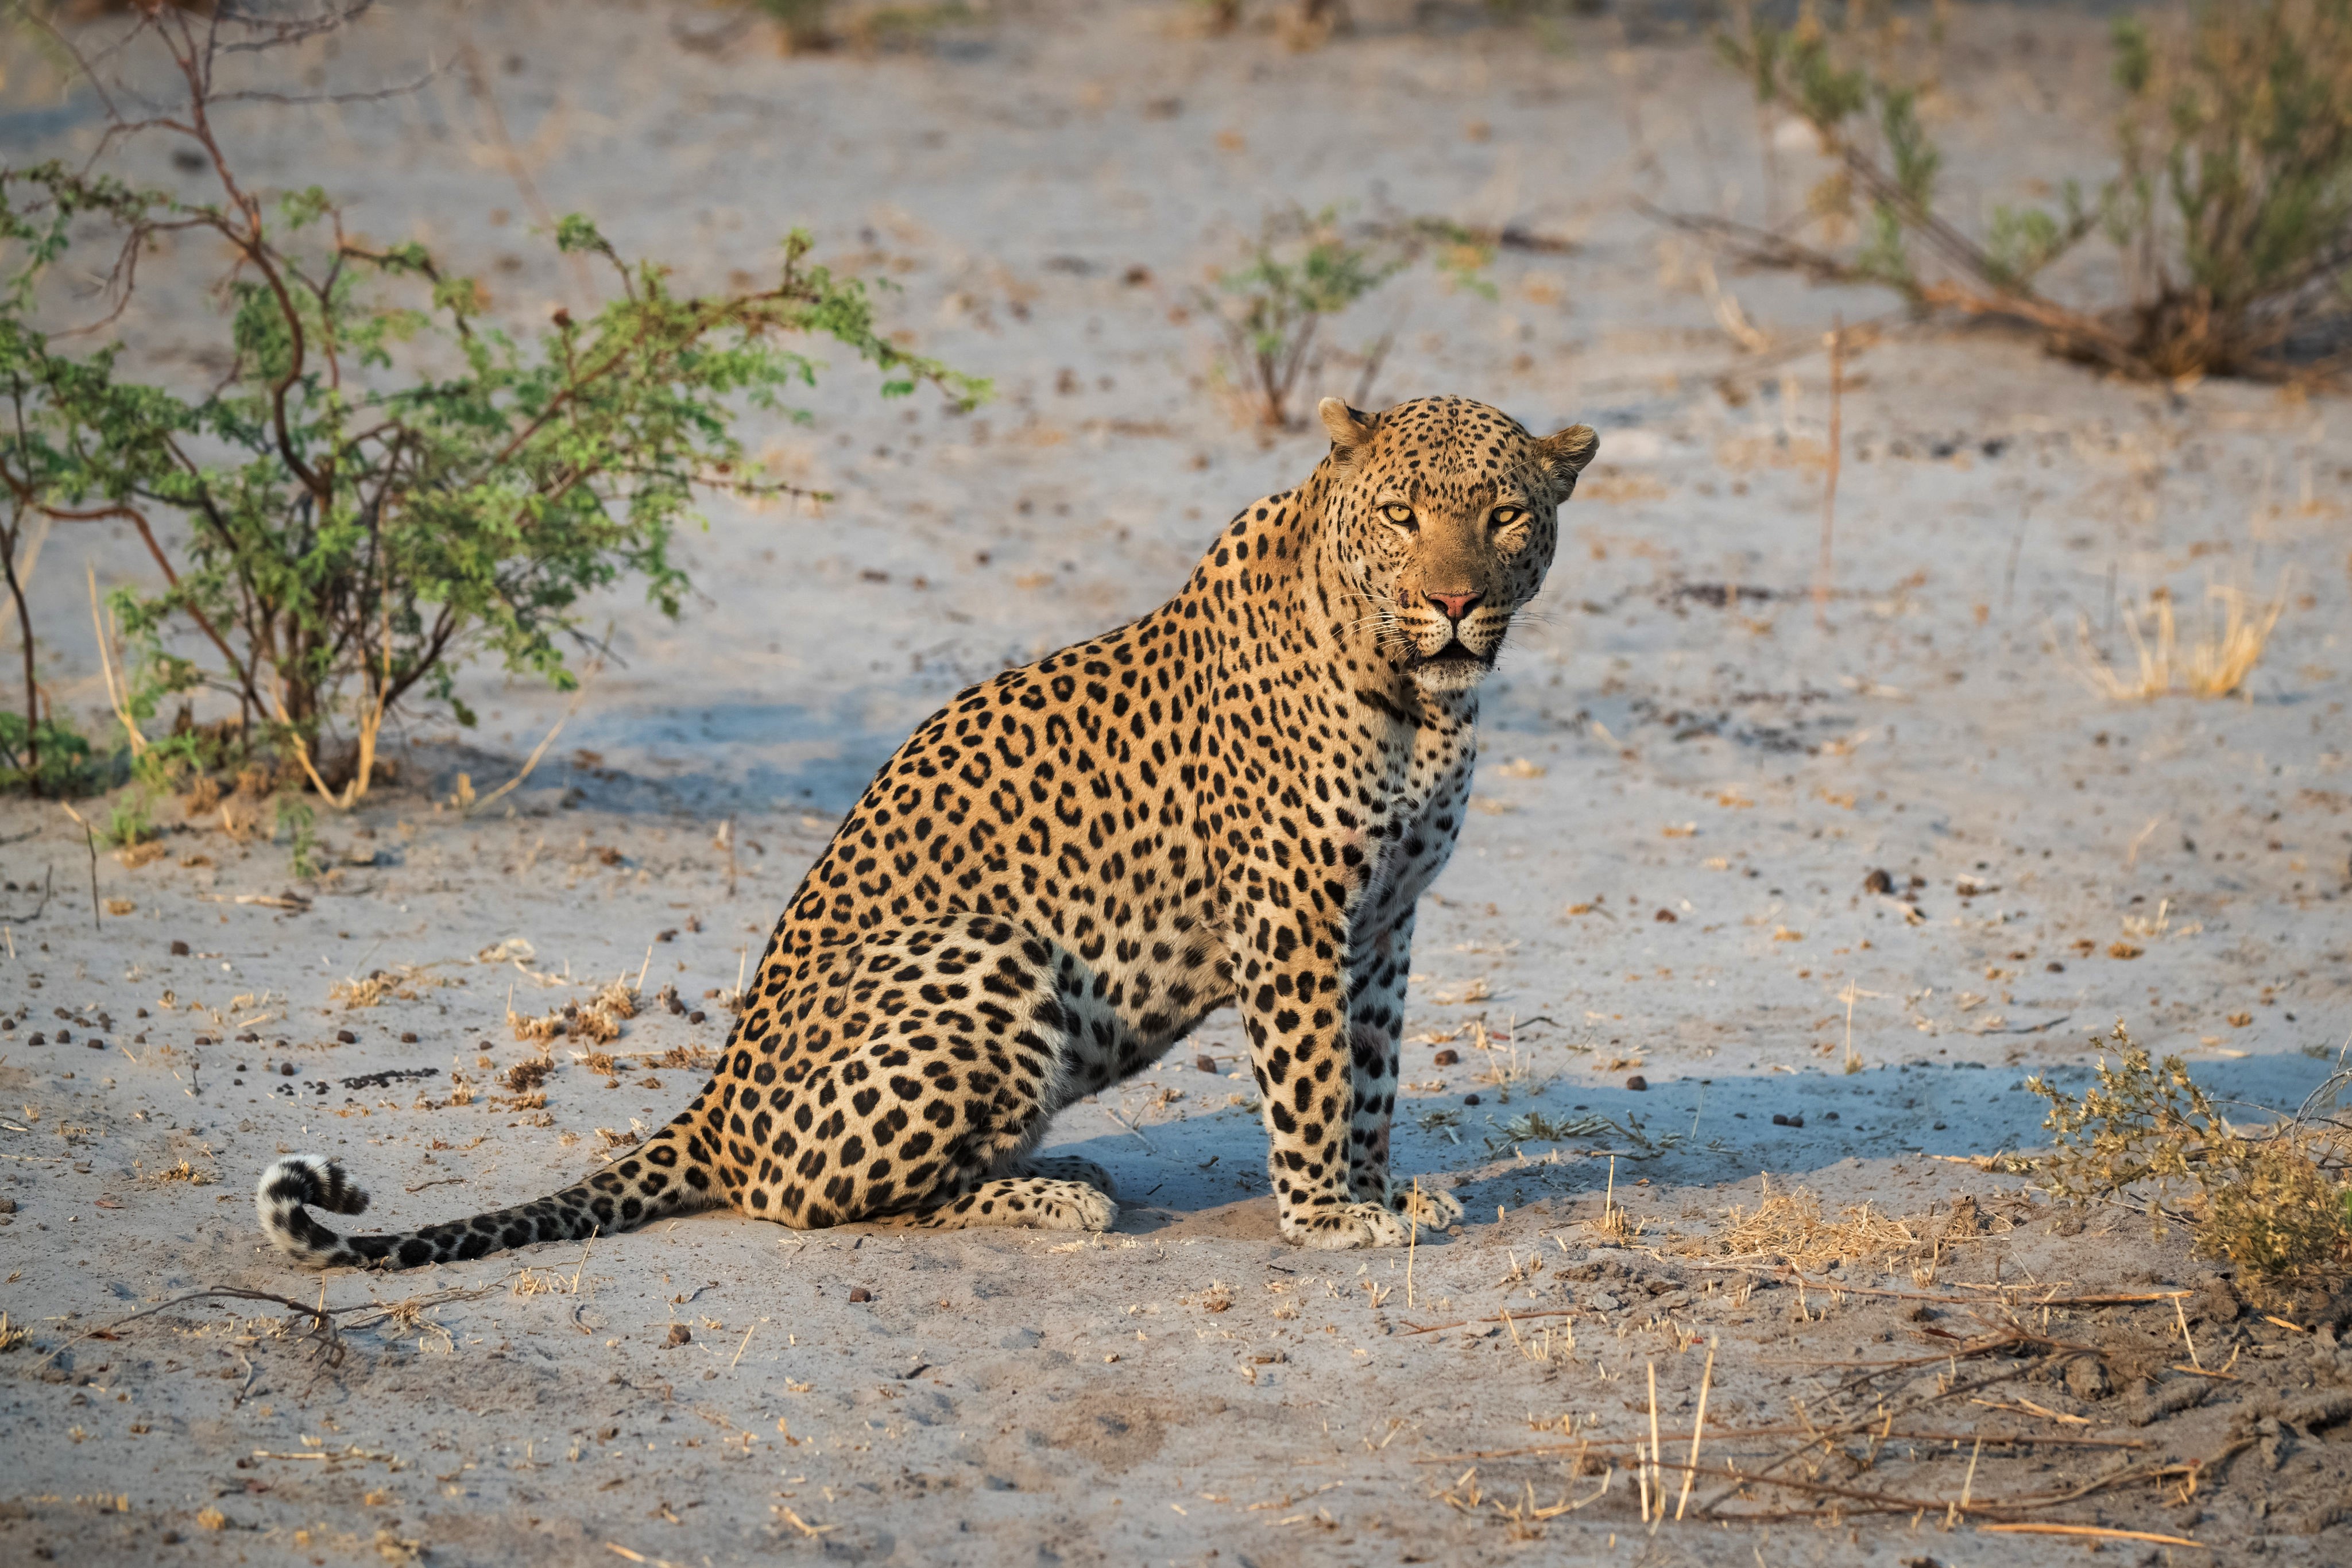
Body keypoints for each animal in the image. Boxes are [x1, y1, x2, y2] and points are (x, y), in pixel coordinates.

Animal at [257, 393, 1597, 1268]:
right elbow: (1314, 1076)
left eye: (1503, 517)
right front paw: (1328, 1218)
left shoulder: (1383, 922)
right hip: (986, 952)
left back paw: (1058, 1172)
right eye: (1404, 515)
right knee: (801, 1199)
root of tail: (717, 1100)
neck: (1420, 698)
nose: (1453, 601)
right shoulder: (1294, 914)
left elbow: (1370, 1072)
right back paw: (1057, 1199)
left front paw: (1384, 1194)